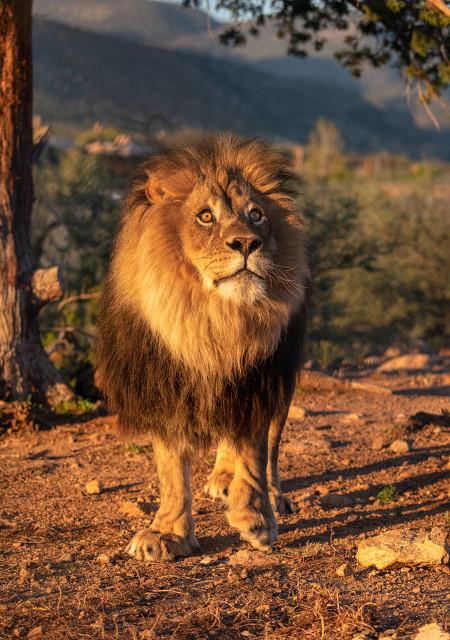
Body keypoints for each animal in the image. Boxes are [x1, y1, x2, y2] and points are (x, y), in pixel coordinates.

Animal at [96, 135, 310, 560]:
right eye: (205, 216)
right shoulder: (164, 389)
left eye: (256, 215)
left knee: (272, 446)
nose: (247, 242)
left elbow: (254, 454)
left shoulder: (259, 384)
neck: (211, 322)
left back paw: (270, 496)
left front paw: (255, 518)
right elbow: (171, 470)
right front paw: (168, 534)